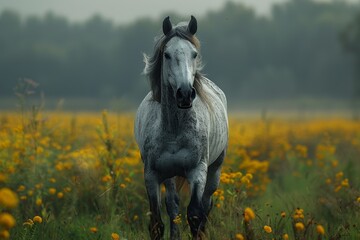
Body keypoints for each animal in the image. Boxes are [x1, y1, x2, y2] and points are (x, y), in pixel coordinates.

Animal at [135, 15, 228, 239]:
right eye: (167, 54)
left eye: (194, 54)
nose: (185, 94)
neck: (174, 130)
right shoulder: (151, 175)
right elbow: (157, 223)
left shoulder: (197, 171)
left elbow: (195, 215)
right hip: (170, 177)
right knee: (173, 206)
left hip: (214, 170)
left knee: (206, 206)